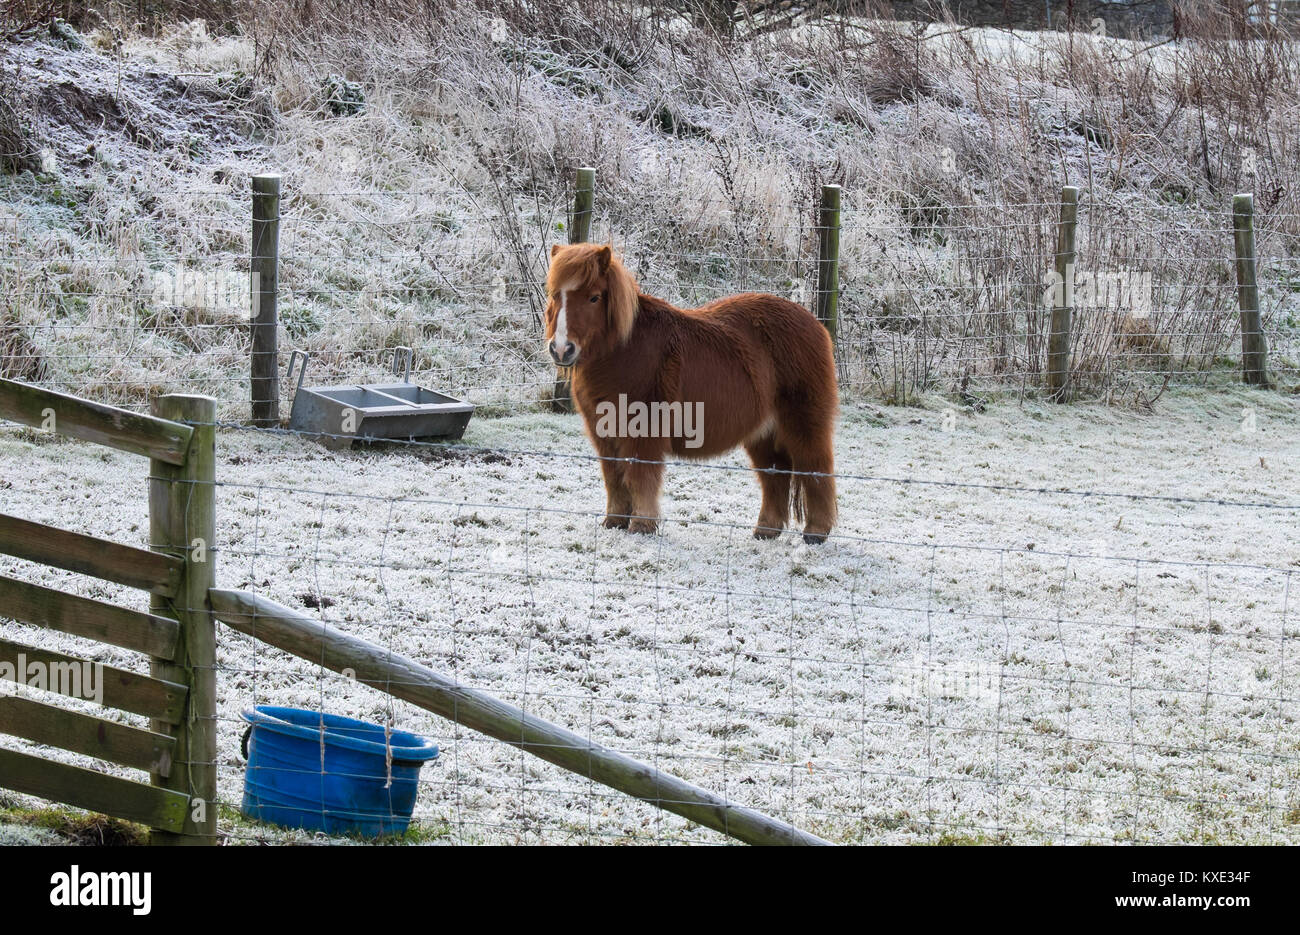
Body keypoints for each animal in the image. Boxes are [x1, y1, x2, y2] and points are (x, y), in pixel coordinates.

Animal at [543, 244, 837, 546]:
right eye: (554, 294)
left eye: (594, 297)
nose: (561, 349)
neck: (626, 350)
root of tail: (816, 325)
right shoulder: (603, 434)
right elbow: (613, 478)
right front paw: (614, 522)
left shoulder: (642, 434)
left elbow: (640, 477)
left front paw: (642, 525)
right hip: (762, 435)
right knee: (774, 477)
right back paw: (765, 531)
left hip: (804, 426)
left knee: (816, 470)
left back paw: (815, 532)